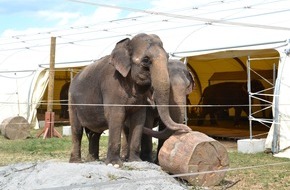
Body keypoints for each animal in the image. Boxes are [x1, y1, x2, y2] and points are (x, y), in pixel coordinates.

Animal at [67, 33, 190, 166]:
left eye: (167, 57)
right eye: (146, 60)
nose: (187, 129)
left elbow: (139, 117)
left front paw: (136, 161)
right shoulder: (111, 84)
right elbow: (117, 115)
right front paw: (114, 164)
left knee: (94, 133)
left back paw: (93, 160)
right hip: (72, 101)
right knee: (77, 130)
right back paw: (76, 161)